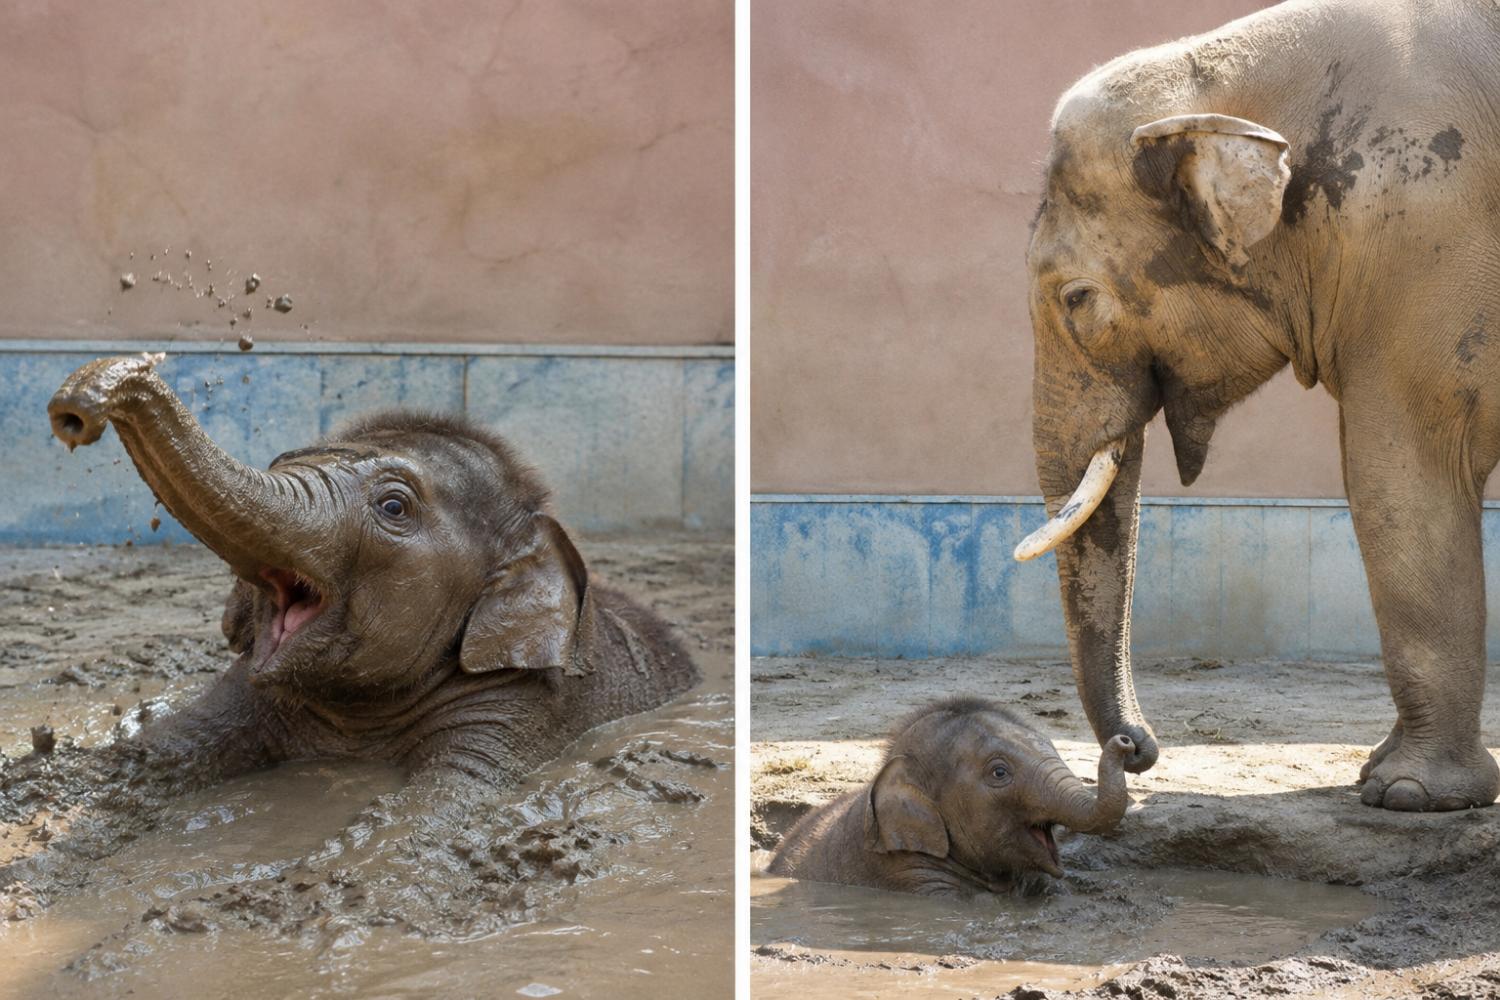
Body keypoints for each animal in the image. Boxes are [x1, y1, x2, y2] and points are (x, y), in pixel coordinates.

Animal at [1019, 0, 1500, 811]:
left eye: (1077, 299)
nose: (1133, 748)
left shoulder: (1424, 251)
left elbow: (1397, 478)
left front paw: (1407, 795)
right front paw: (1381, 776)